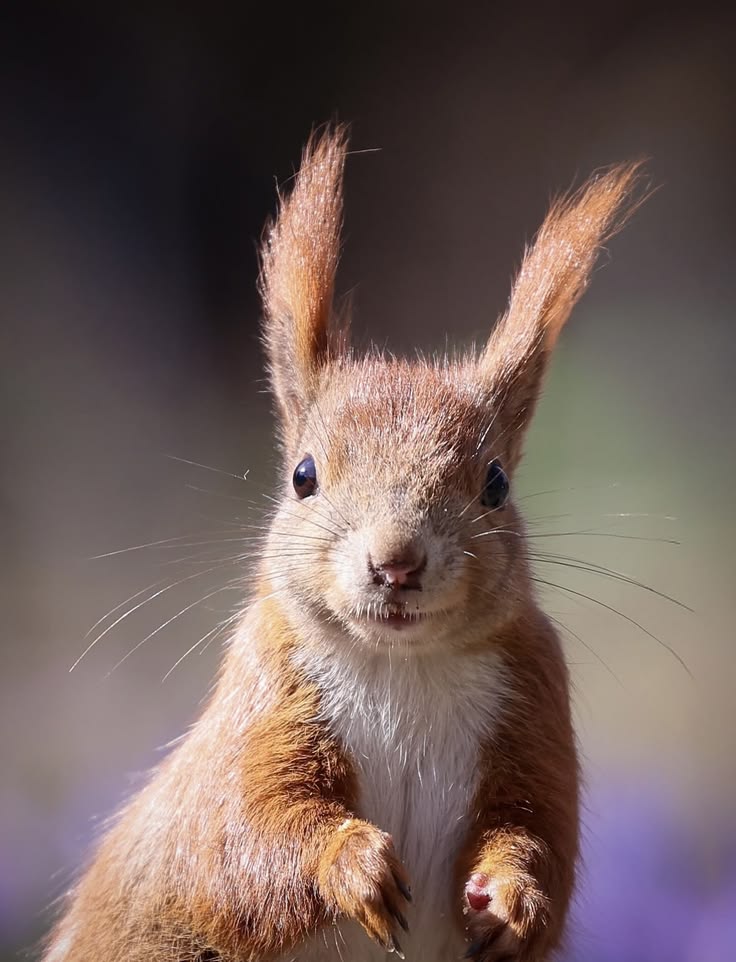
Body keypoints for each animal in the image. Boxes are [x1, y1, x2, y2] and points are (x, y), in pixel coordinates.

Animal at [43, 125, 643, 962]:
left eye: (495, 483)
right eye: (303, 475)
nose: (397, 562)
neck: (402, 668)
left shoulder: (535, 708)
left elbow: (534, 830)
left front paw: (514, 898)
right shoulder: (260, 704)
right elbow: (242, 838)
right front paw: (351, 863)